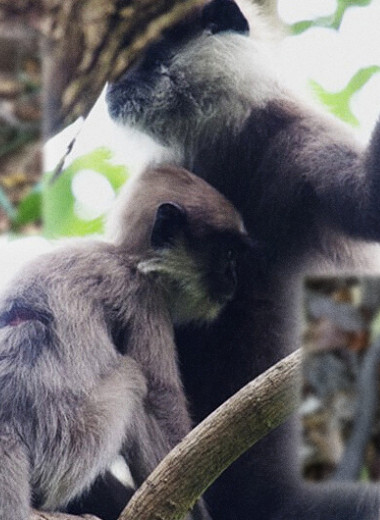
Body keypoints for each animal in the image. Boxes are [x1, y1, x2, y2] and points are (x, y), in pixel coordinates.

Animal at [0, 166, 255, 520]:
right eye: (227, 254)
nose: (234, 278)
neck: (124, 255)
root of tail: (8, 426)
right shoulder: (144, 295)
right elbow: (162, 400)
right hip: (71, 443)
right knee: (133, 379)